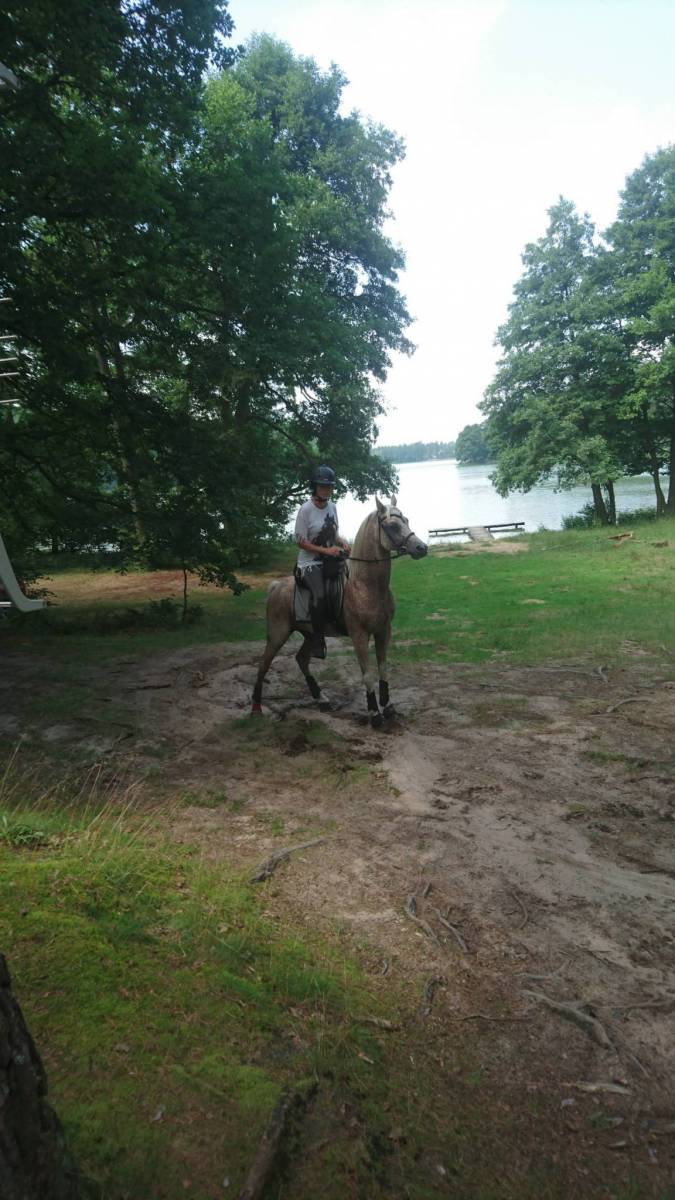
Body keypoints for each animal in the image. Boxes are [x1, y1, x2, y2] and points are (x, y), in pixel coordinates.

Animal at [251, 496, 427, 725]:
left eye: (406, 520)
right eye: (392, 526)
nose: (421, 548)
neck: (365, 586)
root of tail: (275, 586)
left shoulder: (383, 632)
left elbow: (383, 669)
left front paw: (388, 707)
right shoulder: (359, 635)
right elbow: (367, 674)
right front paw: (374, 713)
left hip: (310, 635)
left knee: (301, 660)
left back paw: (322, 699)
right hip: (278, 634)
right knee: (263, 664)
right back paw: (256, 708)